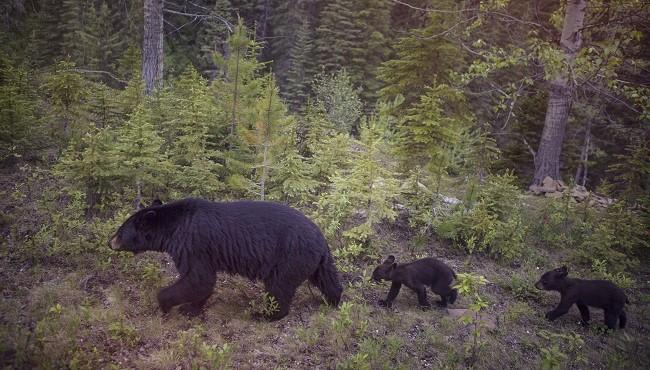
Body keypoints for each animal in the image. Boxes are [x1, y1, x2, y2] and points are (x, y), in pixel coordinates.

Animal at [110, 197, 344, 320]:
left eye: (120, 231)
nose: (109, 241)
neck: (172, 228)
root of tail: (321, 239)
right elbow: (201, 282)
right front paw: (191, 308)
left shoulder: (193, 244)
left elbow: (198, 278)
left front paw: (165, 303)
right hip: (315, 261)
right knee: (328, 280)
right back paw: (333, 300)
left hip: (289, 257)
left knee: (278, 288)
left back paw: (264, 314)